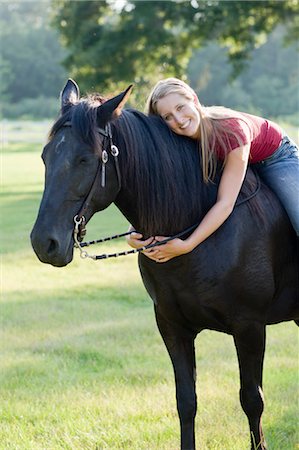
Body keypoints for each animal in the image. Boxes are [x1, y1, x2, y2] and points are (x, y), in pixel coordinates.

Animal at [31, 81, 298, 450]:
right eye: (45, 156)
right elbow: (186, 401)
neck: (195, 224)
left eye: (84, 159)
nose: (44, 243)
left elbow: (251, 400)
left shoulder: (249, 327)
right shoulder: (172, 326)